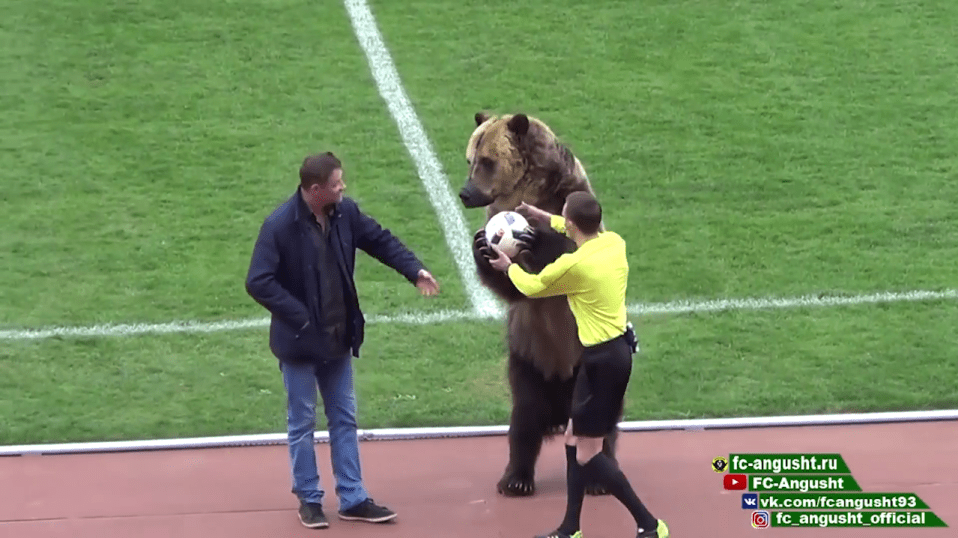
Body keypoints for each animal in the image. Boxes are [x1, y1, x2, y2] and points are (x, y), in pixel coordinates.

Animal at [460, 111, 624, 496]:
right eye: (470, 160)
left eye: (487, 161)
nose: (465, 193)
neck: (530, 191)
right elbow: (514, 289)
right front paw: (481, 247)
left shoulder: (571, 196)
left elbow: (574, 250)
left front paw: (539, 236)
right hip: (528, 356)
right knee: (524, 417)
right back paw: (516, 478)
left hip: (583, 367)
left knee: (600, 423)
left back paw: (599, 479)